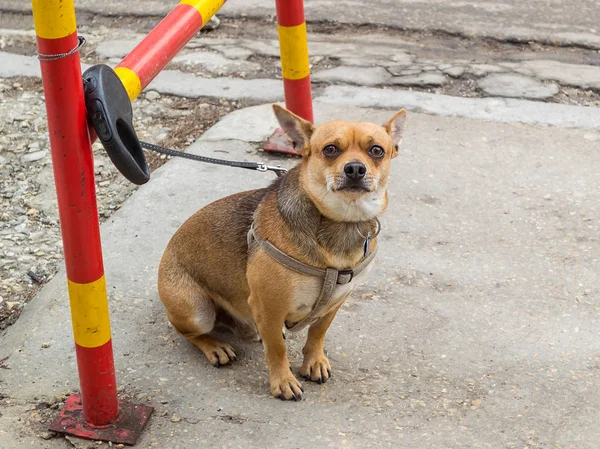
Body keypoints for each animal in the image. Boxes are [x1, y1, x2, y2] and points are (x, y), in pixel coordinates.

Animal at [157, 105, 406, 400]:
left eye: (376, 150)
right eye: (330, 149)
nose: (355, 168)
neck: (339, 222)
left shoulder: (335, 302)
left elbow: (317, 333)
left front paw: (314, 361)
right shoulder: (269, 308)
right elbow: (277, 349)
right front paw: (283, 381)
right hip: (197, 312)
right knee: (189, 332)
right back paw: (215, 346)